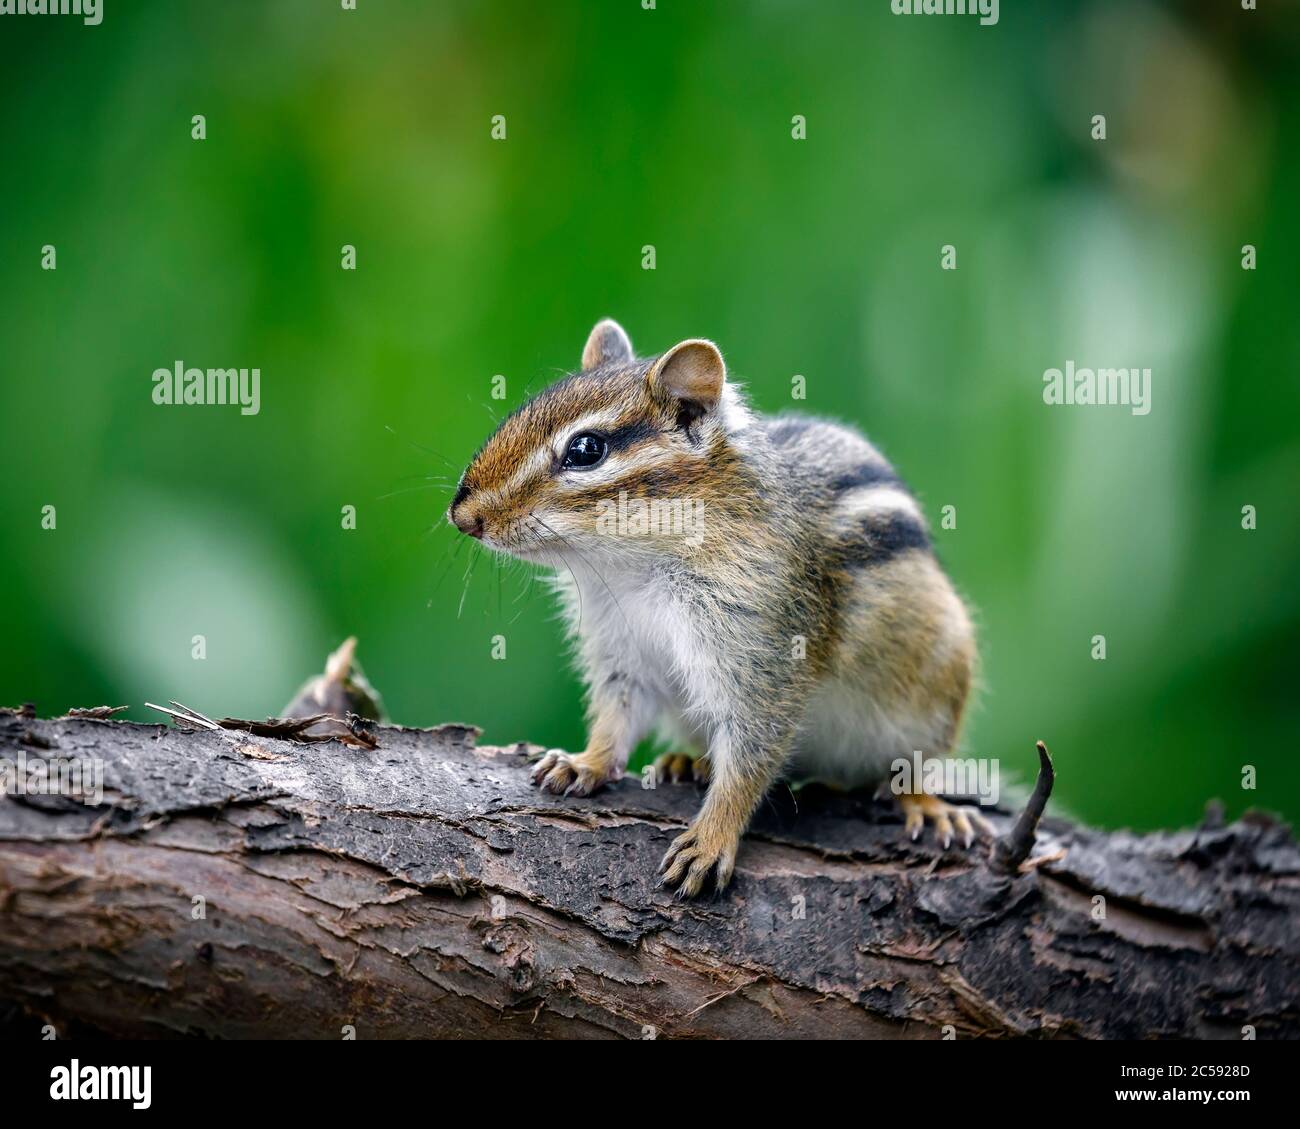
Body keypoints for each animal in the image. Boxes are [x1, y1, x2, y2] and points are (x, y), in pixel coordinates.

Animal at [449, 319, 992, 897]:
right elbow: (616, 715)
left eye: (586, 449)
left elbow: (751, 755)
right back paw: (689, 761)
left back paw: (927, 804)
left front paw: (711, 840)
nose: (462, 516)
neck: (634, 567)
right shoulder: (622, 651)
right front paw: (584, 763)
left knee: (908, 768)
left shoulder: (764, 652)